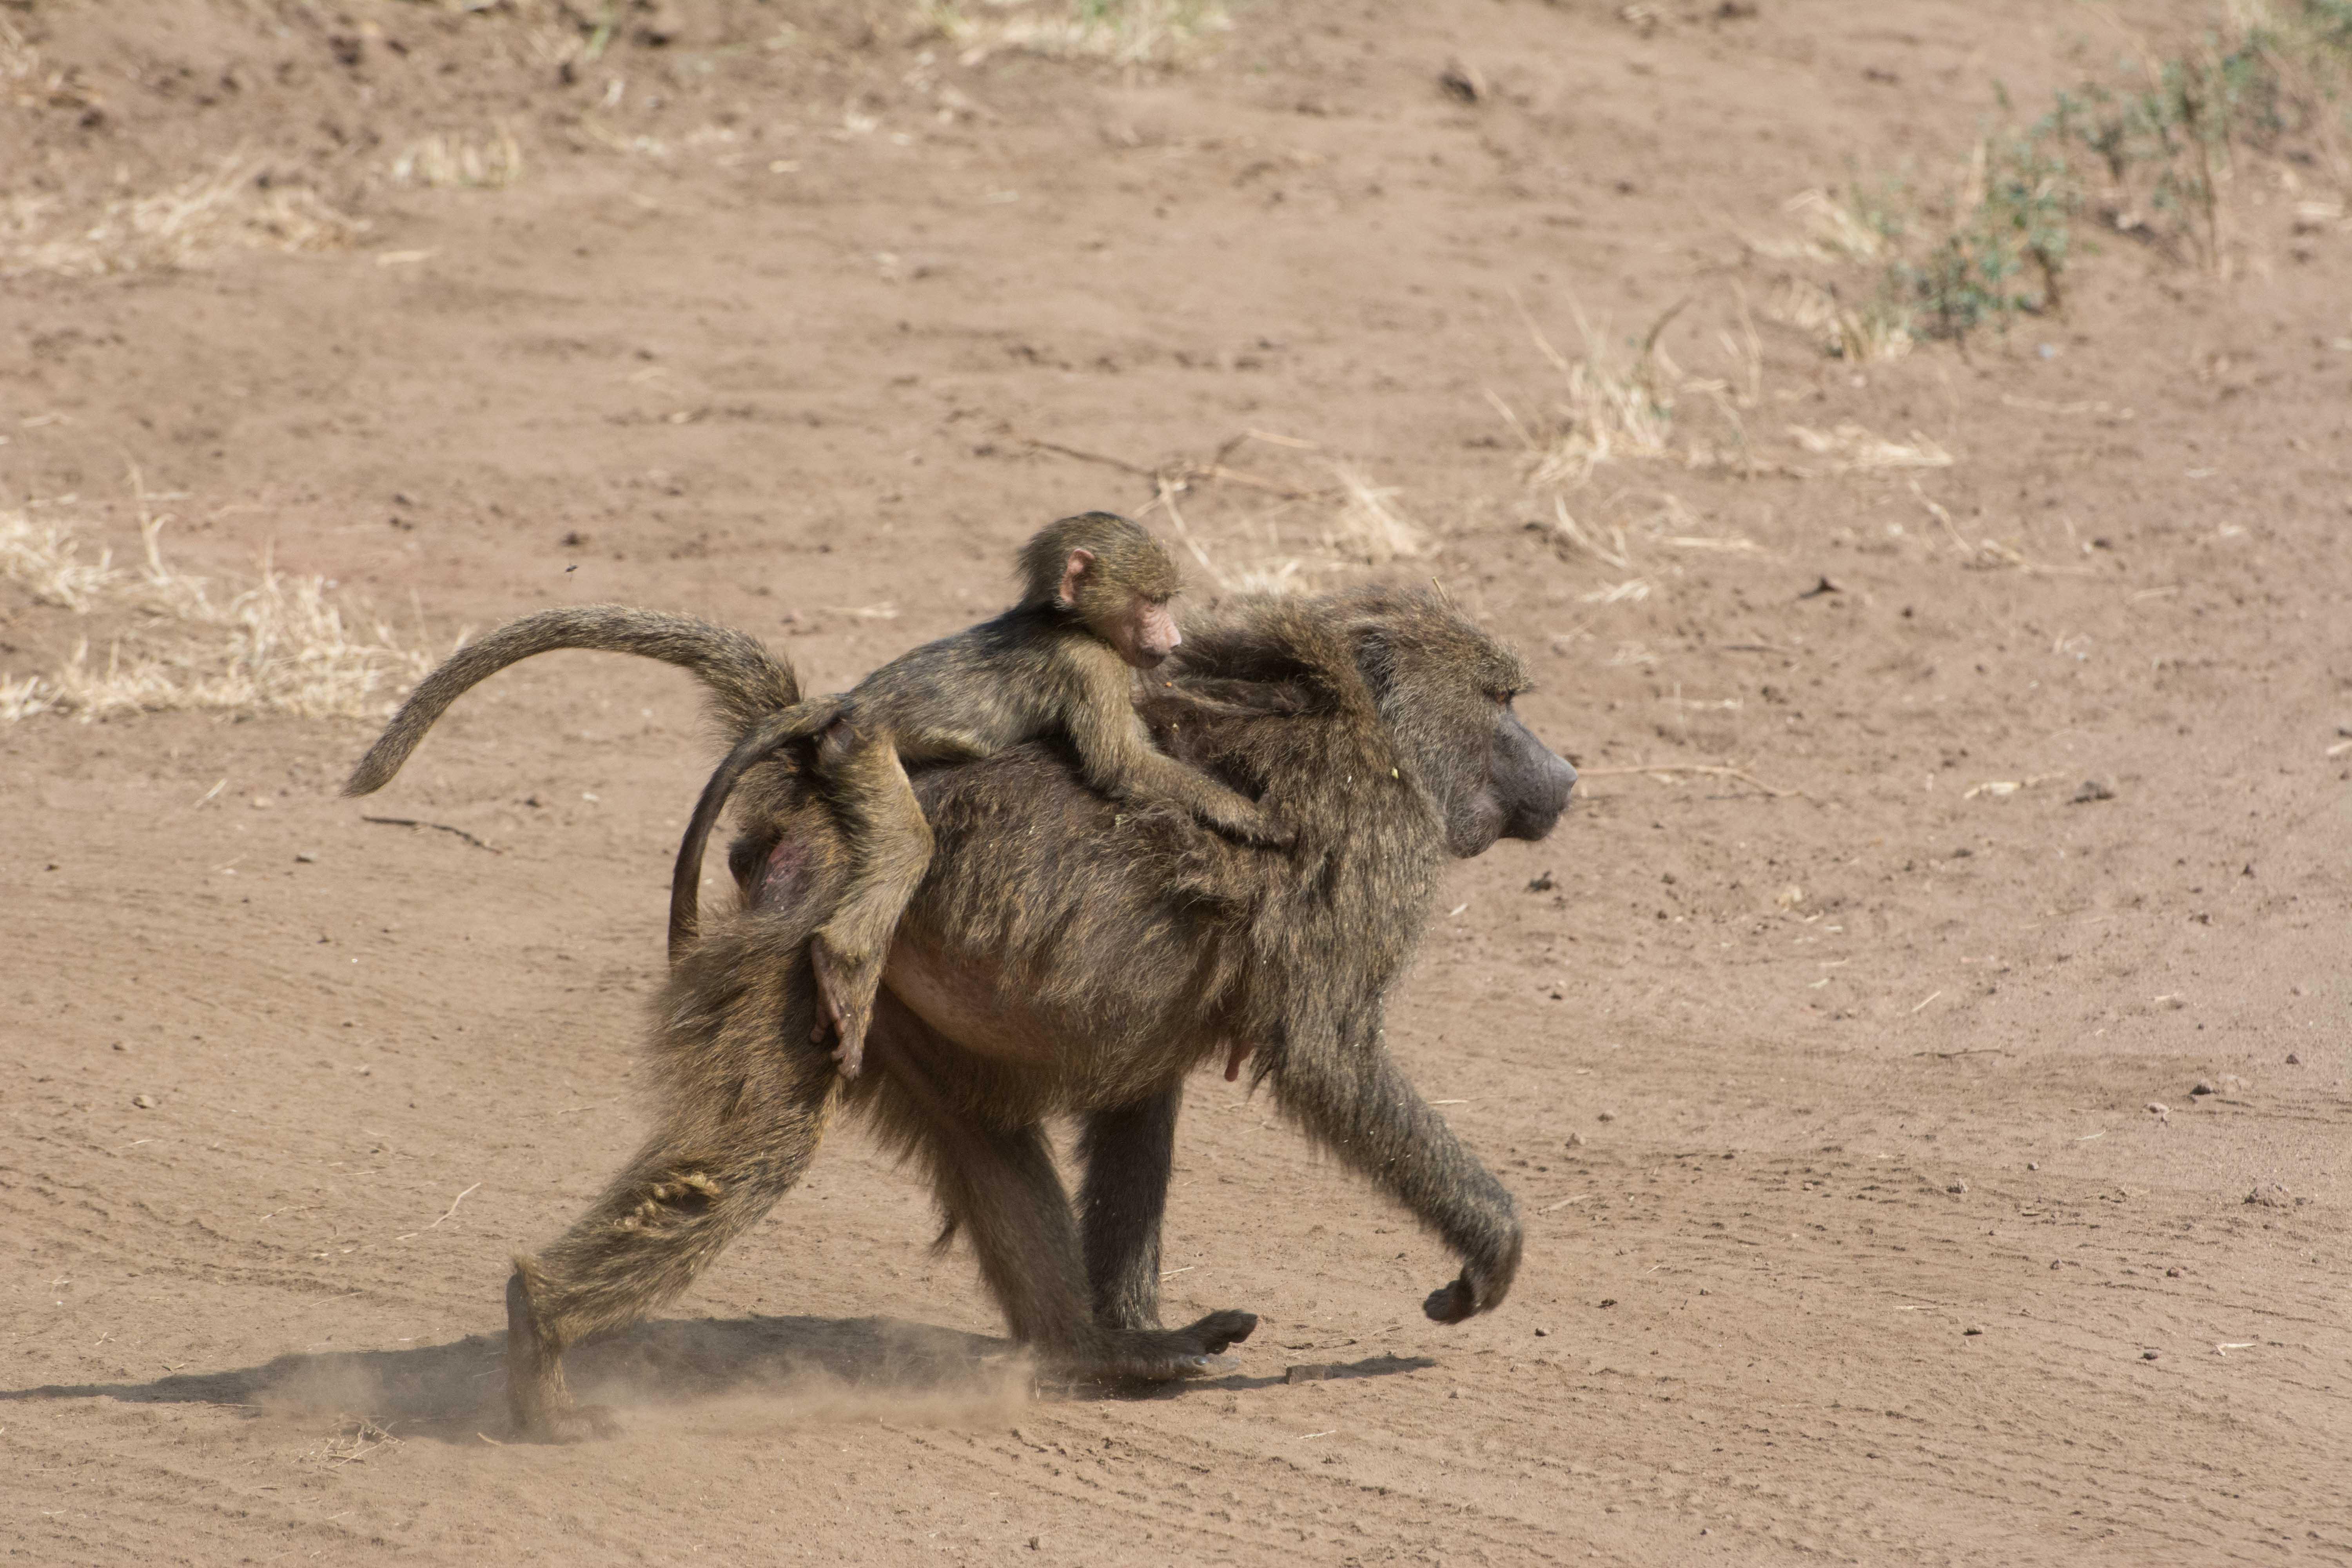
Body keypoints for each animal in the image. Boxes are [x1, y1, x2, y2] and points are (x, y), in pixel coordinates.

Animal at [343, 586, 1578, 1441]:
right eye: (1504, 700)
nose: (1569, 776)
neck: (1364, 722)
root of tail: (812, 770)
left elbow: (1144, 1092)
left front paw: (1133, 1332)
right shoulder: (1375, 847)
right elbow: (1328, 1056)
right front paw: (1490, 1248)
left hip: (882, 999)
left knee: (983, 1137)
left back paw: (1100, 1355)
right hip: (814, 938)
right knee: (752, 1156)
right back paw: (544, 1345)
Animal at [665, 511, 1290, 1081]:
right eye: (1152, 601)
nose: (1175, 638)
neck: (1062, 620)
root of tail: (853, 702)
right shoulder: (1089, 665)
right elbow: (1121, 764)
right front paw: (1251, 816)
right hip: (863, 751)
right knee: (909, 846)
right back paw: (841, 961)